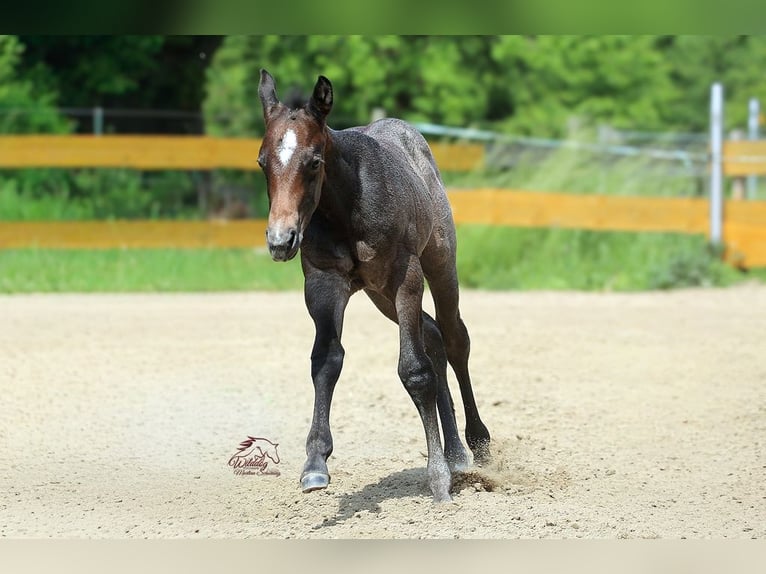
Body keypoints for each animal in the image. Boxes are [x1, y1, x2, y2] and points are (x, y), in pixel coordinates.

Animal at [257, 69, 491, 502]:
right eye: (262, 161)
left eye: (314, 162)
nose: (281, 240)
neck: (347, 204)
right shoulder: (323, 284)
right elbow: (326, 360)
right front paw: (315, 464)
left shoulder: (405, 277)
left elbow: (414, 370)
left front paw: (437, 480)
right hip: (379, 293)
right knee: (433, 335)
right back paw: (454, 453)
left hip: (436, 266)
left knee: (453, 338)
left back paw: (477, 444)